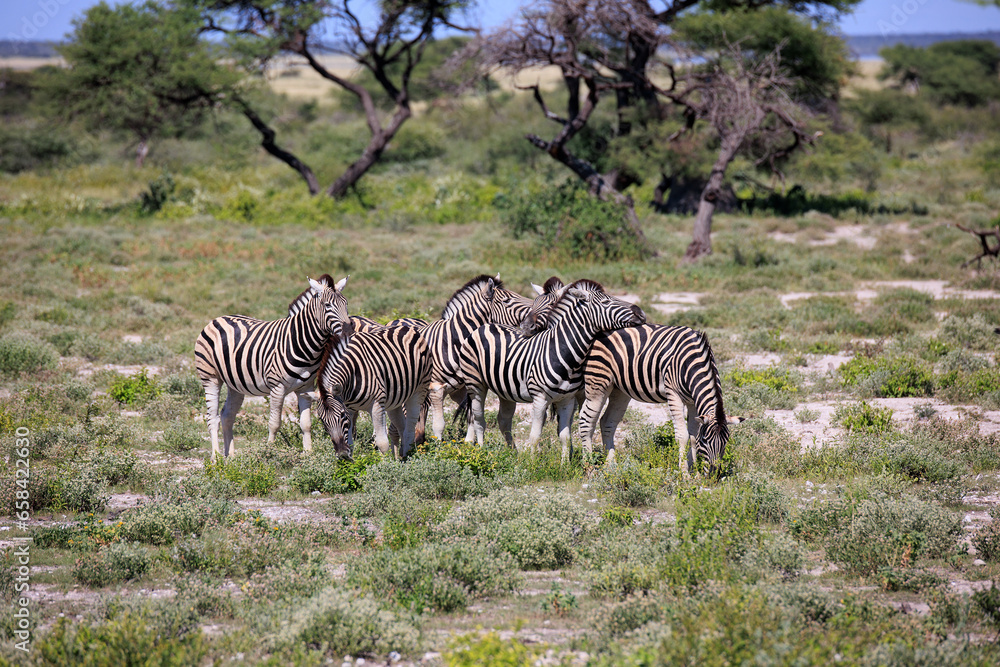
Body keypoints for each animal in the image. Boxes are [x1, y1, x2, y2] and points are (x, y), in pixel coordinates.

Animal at [195, 276, 350, 460]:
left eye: (346, 303)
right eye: (327, 305)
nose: (349, 329)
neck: (302, 343)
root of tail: (217, 319)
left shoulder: (306, 387)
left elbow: (306, 423)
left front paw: (308, 454)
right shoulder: (277, 387)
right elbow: (274, 423)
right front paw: (268, 452)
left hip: (235, 384)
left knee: (227, 415)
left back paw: (230, 457)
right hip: (210, 377)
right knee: (212, 417)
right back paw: (216, 458)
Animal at [315, 318, 431, 460]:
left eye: (342, 415)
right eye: (322, 421)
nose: (342, 455)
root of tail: (406, 327)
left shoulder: (376, 404)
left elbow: (382, 443)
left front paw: (385, 464)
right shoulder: (350, 408)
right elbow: (351, 442)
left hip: (419, 389)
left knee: (411, 423)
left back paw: (408, 454)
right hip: (395, 397)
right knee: (401, 424)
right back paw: (402, 456)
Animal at [423, 274, 540, 440]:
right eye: (506, 300)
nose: (534, 317)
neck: (452, 341)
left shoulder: (466, 387)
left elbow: (472, 418)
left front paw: (468, 443)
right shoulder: (436, 388)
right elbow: (439, 425)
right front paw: (438, 446)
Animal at [458, 279, 645, 461]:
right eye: (606, 302)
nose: (641, 313)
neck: (564, 354)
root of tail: (485, 325)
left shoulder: (567, 400)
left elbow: (565, 436)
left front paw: (565, 465)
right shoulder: (540, 399)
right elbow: (535, 436)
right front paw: (531, 465)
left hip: (505, 389)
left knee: (503, 419)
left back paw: (511, 454)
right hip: (476, 384)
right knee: (478, 418)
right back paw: (482, 452)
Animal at [577, 325, 732, 475]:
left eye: (726, 442)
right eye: (705, 441)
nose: (713, 476)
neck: (692, 361)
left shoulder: (693, 402)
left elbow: (692, 436)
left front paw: (694, 471)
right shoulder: (673, 393)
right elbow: (683, 435)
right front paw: (684, 474)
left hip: (619, 390)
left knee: (606, 422)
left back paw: (611, 467)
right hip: (598, 382)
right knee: (586, 422)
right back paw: (589, 468)